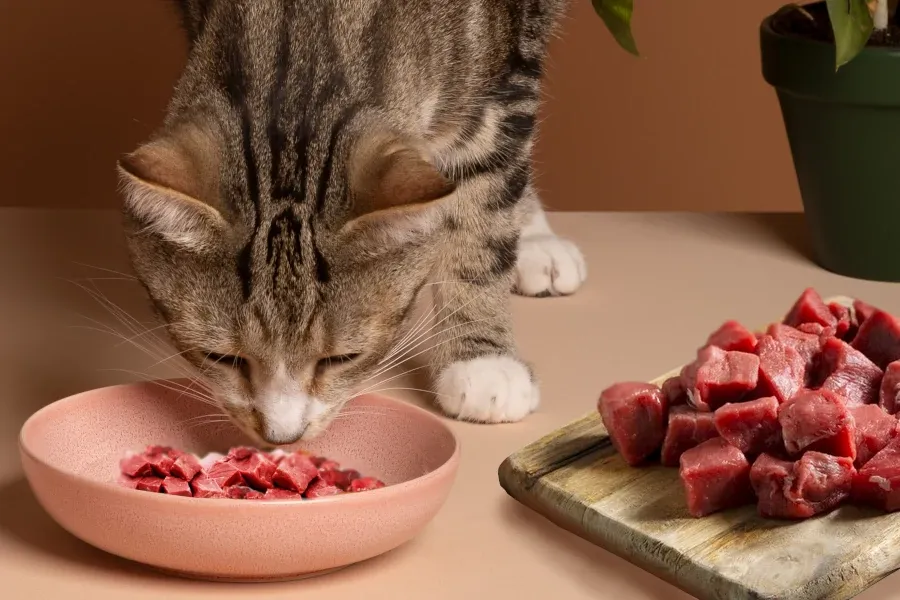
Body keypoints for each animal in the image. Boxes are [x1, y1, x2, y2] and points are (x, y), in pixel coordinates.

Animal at [118, 0, 584, 446]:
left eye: (343, 358)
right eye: (221, 358)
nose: (282, 436)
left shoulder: (504, 77)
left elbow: (485, 208)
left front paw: (482, 362)